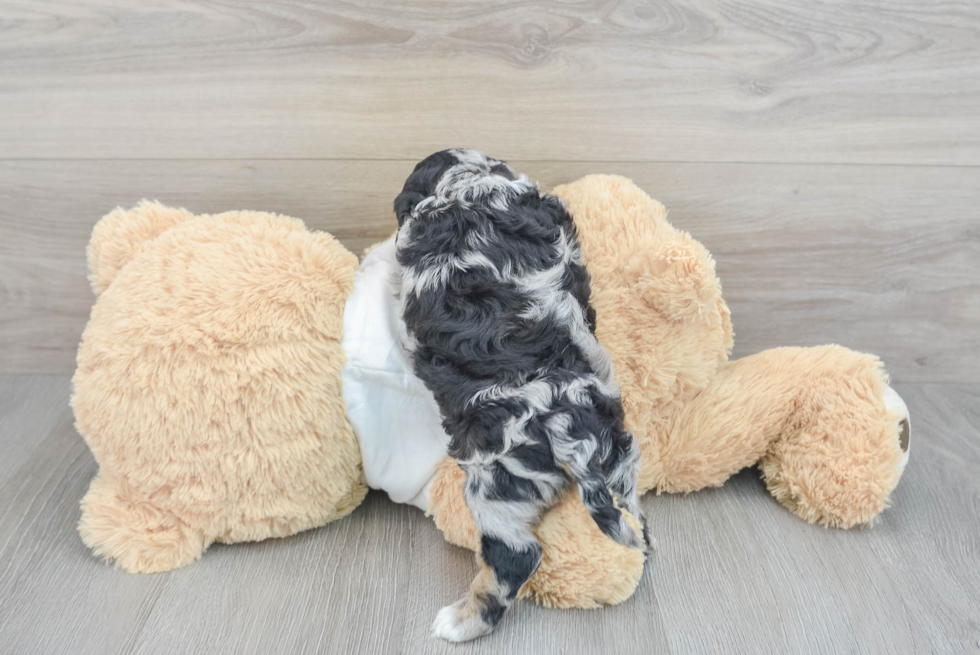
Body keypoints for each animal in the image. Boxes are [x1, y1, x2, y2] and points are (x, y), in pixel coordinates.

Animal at [394, 147, 648, 640]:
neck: (469, 185)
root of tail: (571, 431)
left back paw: (461, 621)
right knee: (631, 505)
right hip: (621, 457)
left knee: (516, 556)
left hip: (496, 487)